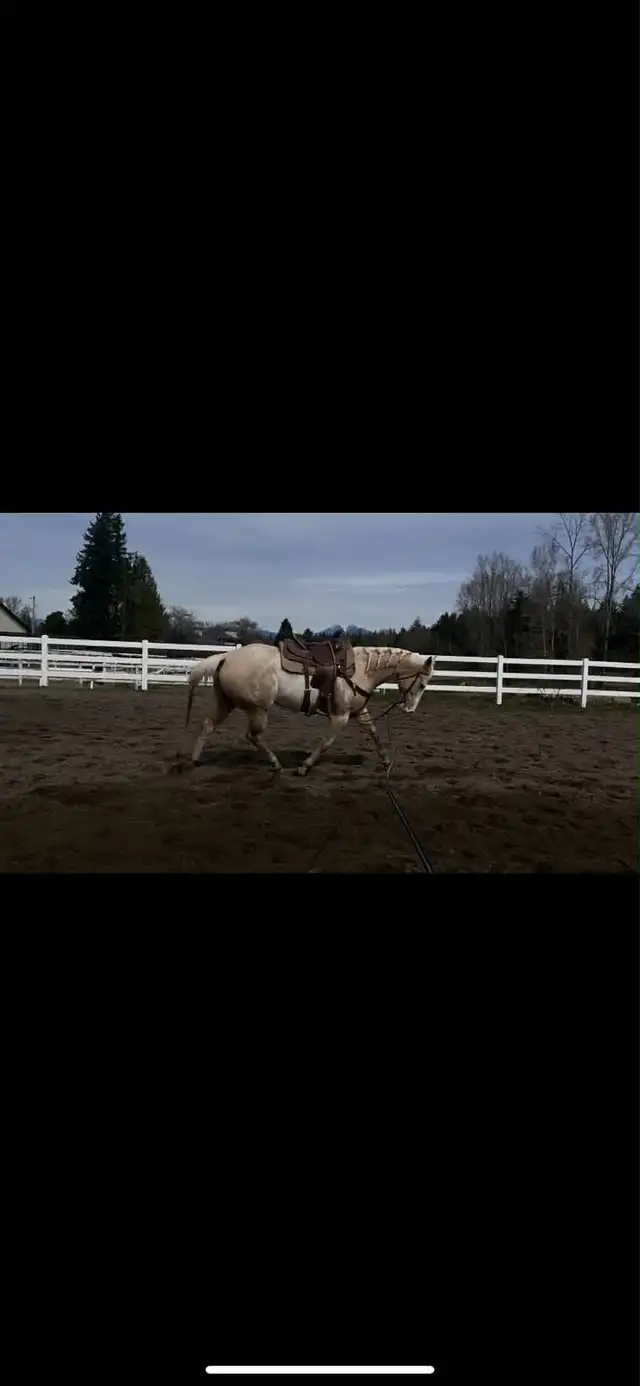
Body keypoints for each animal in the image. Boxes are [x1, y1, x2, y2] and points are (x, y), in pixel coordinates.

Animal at [183, 643, 435, 776]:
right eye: (422, 684)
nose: (409, 709)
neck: (361, 670)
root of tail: (226, 657)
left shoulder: (357, 711)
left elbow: (373, 732)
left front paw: (386, 761)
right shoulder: (340, 715)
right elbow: (326, 742)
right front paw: (304, 767)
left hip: (227, 703)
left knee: (208, 726)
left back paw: (194, 761)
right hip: (258, 709)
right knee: (253, 735)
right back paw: (275, 764)